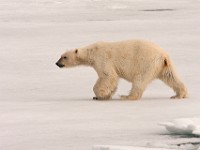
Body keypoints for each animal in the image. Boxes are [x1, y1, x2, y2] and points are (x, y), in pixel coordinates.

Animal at [55, 40, 188, 101]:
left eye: (64, 57)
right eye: (61, 56)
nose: (57, 63)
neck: (92, 52)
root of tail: (163, 55)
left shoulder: (102, 58)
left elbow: (108, 76)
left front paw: (100, 95)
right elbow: (112, 80)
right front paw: (106, 95)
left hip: (146, 63)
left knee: (139, 81)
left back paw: (127, 96)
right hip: (163, 66)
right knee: (171, 77)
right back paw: (179, 94)